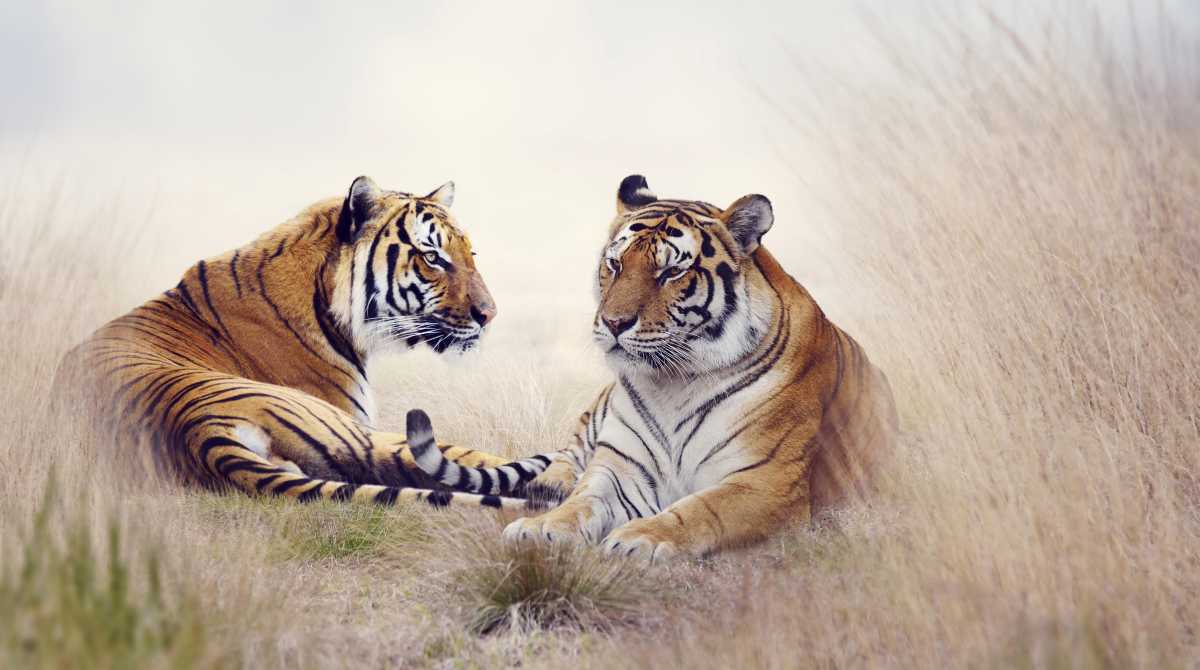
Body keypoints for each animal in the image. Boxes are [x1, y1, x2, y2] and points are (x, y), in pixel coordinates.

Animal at [408, 174, 898, 559]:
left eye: (671, 273)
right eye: (615, 264)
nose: (613, 322)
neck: (675, 382)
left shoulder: (766, 481)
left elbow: (701, 508)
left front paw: (640, 538)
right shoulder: (621, 467)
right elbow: (584, 499)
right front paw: (544, 527)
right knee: (566, 459)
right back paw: (548, 487)